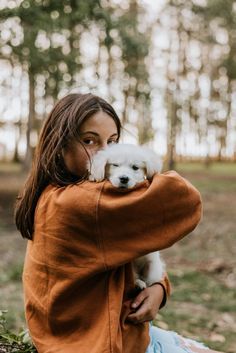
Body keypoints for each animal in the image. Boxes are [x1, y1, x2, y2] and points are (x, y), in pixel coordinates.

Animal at [88, 143, 166, 288]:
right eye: (115, 165)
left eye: (135, 167)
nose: (124, 178)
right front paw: (93, 176)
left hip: (152, 266)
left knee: (148, 280)